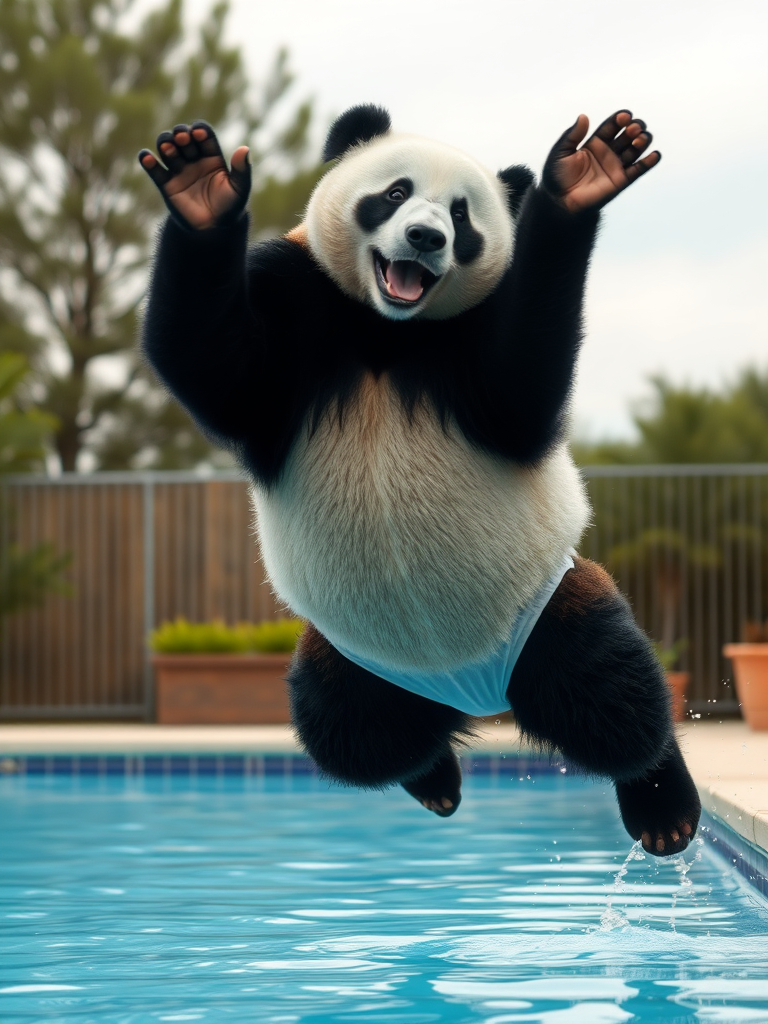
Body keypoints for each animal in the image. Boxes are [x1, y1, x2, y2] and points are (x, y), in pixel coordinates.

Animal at [140, 101, 704, 856]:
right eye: (396, 192)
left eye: (463, 217)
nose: (425, 237)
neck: (391, 331)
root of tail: (469, 691)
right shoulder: (298, 304)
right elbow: (216, 368)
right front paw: (199, 186)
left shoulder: (485, 342)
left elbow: (521, 385)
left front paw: (581, 182)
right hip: (353, 656)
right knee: (348, 729)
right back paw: (434, 780)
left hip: (548, 605)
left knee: (609, 690)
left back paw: (662, 807)